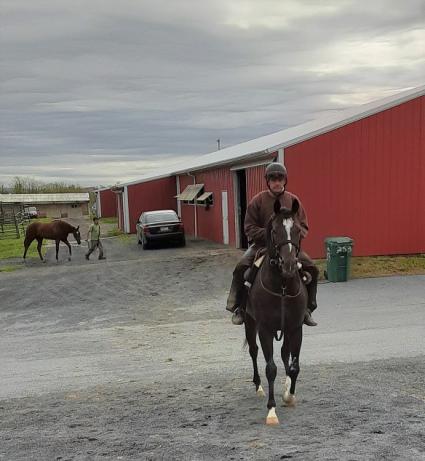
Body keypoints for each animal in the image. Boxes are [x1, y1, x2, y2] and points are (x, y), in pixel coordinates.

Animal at [243, 198, 306, 424]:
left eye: (297, 230)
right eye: (275, 230)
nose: (289, 265)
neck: (282, 286)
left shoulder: (295, 327)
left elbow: (295, 366)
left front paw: (289, 395)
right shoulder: (265, 330)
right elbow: (270, 368)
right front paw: (271, 410)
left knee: (285, 353)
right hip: (249, 323)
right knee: (253, 352)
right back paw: (259, 387)